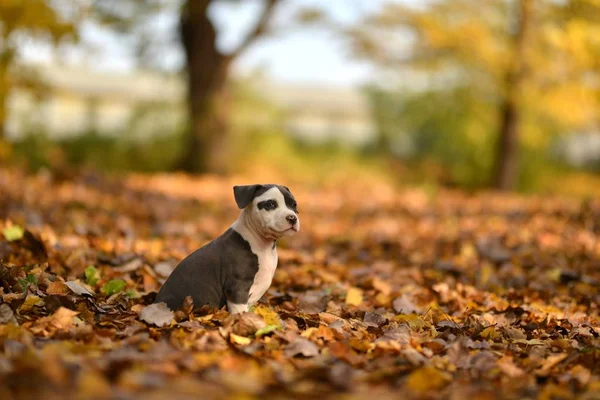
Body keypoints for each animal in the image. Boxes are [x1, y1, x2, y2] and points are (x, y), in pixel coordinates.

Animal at [152, 184, 298, 312]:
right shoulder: (237, 287)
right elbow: (240, 311)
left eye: (294, 205)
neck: (262, 244)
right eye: (270, 204)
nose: (292, 218)